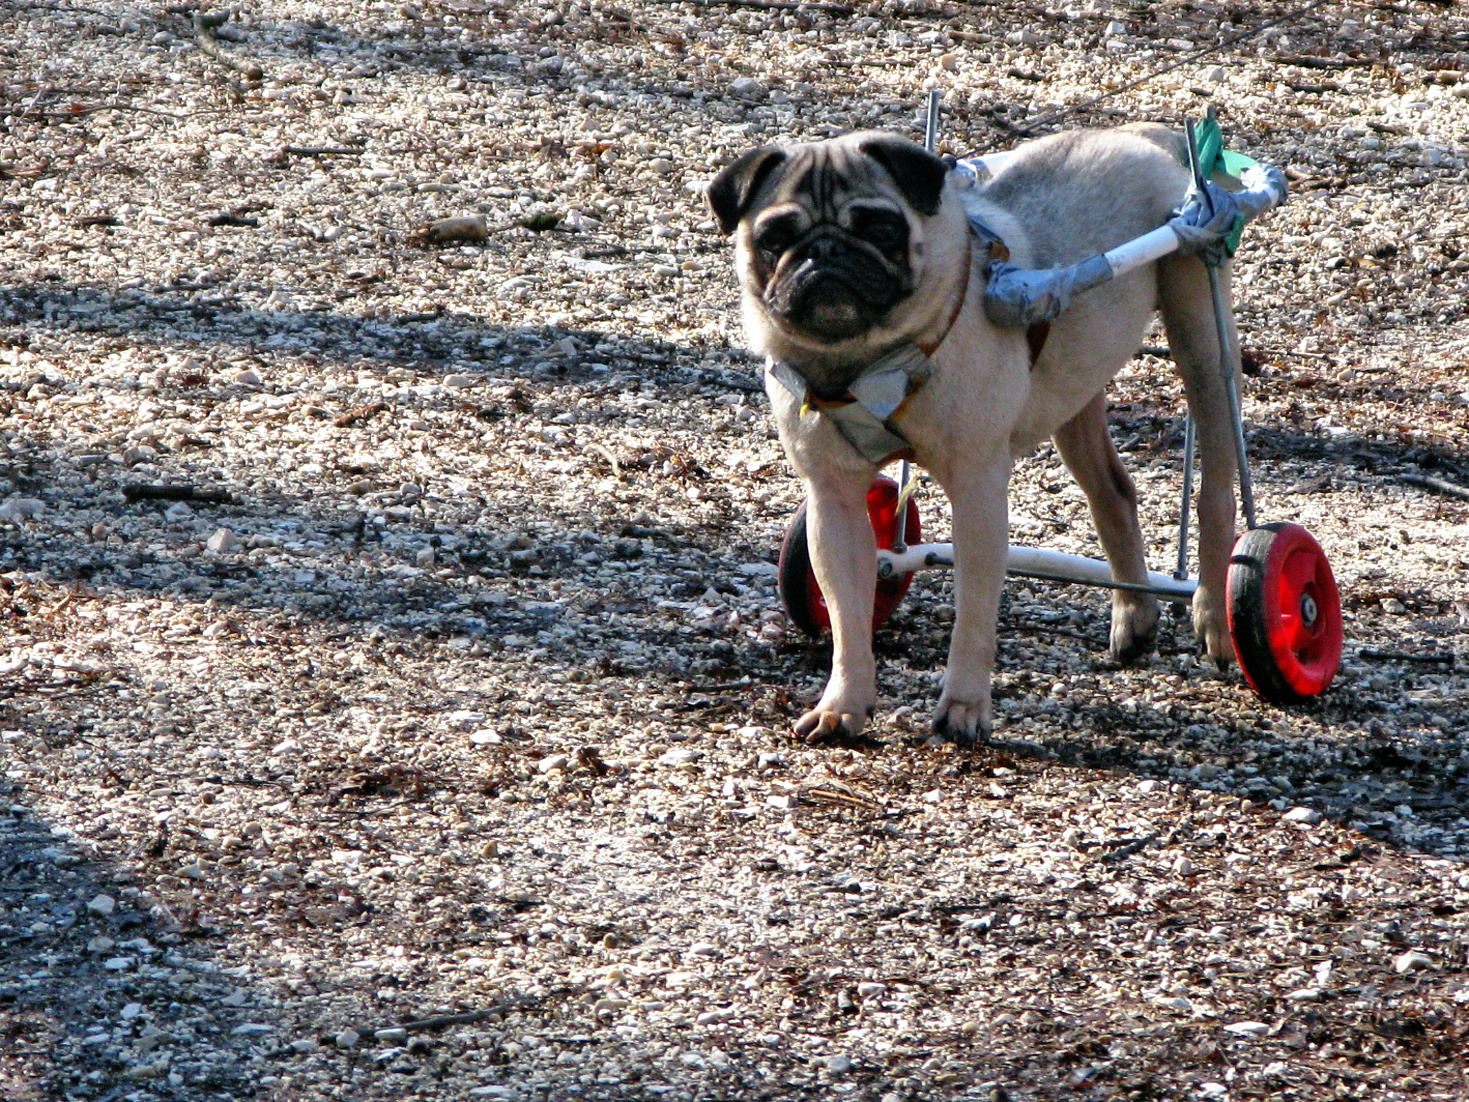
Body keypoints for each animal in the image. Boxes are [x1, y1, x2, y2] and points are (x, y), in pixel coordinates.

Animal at [710, 127, 1251, 743]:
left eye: (880, 228)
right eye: (776, 238)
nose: (825, 252)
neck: (869, 363)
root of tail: (1143, 134)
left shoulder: (976, 495)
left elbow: (972, 616)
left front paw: (964, 707)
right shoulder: (835, 503)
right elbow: (848, 616)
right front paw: (843, 704)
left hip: (1204, 345)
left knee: (1217, 493)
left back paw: (1214, 614)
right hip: (1074, 392)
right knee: (1113, 494)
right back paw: (1134, 617)